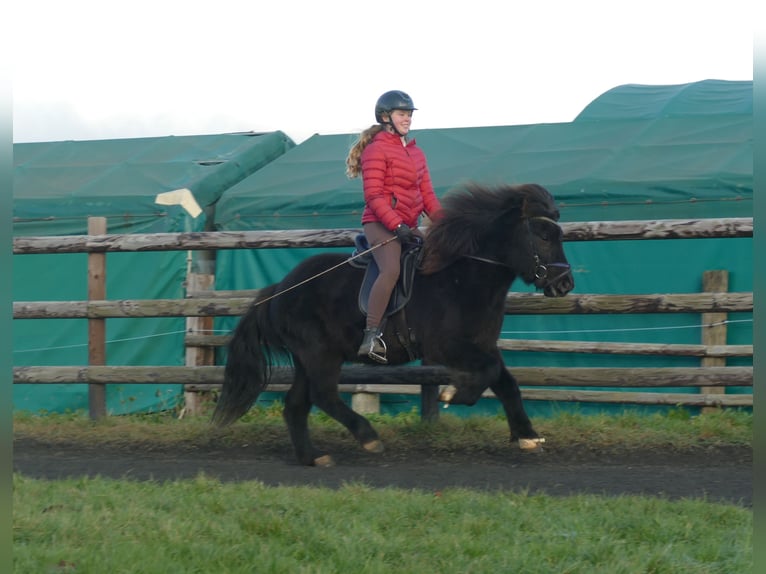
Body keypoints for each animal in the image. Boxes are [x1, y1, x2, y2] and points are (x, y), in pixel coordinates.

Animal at [213, 184, 572, 468]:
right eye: (543, 236)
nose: (565, 283)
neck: (462, 279)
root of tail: (279, 289)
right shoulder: (448, 346)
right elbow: (487, 374)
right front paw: (454, 394)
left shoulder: (483, 345)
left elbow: (504, 381)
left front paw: (527, 436)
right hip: (319, 354)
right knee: (323, 394)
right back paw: (367, 436)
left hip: (307, 359)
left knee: (296, 405)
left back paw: (313, 457)